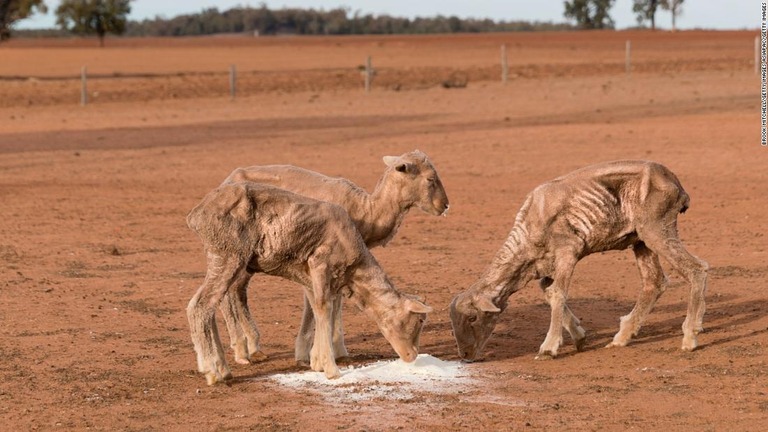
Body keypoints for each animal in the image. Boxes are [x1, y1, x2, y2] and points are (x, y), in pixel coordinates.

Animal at [186, 181, 432, 384]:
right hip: (228, 255)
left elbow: (316, 309)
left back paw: (223, 368)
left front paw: (317, 362)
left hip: (221, 257)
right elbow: (324, 308)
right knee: (200, 306)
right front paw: (331, 369)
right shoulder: (320, 264)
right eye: (419, 320)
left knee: (210, 305)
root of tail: (196, 214)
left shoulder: (310, 276)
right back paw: (212, 371)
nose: (412, 355)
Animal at [216, 150, 448, 366]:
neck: (368, 210)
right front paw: (320, 352)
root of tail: (226, 181)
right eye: (430, 179)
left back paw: (253, 347)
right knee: (228, 293)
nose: (445, 206)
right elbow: (324, 303)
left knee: (237, 291)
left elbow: (334, 301)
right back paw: (241, 351)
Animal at [450, 159, 708, 362]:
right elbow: (549, 292)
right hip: (640, 240)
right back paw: (622, 337)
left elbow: (558, 294)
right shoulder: (545, 268)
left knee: (697, 268)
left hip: (657, 229)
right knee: (654, 282)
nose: (465, 356)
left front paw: (548, 348)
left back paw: (690, 336)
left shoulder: (567, 252)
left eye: (473, 317)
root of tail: (677, 185)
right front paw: (579, 337)